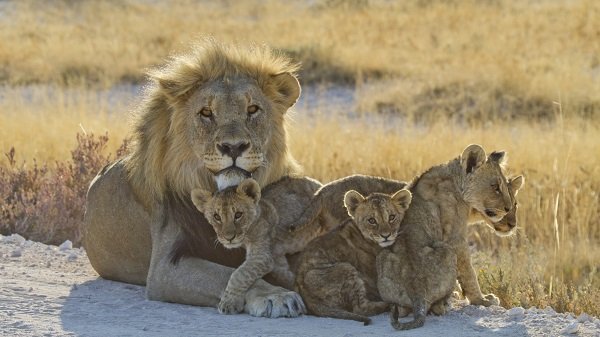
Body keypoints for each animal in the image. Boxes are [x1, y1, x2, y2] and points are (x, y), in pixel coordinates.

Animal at [83, 40, 310, 318]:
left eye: (253, 109)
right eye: (206, 112)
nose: (233, 147)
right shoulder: (164, 268)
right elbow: (226, 274)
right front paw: (275, 296)